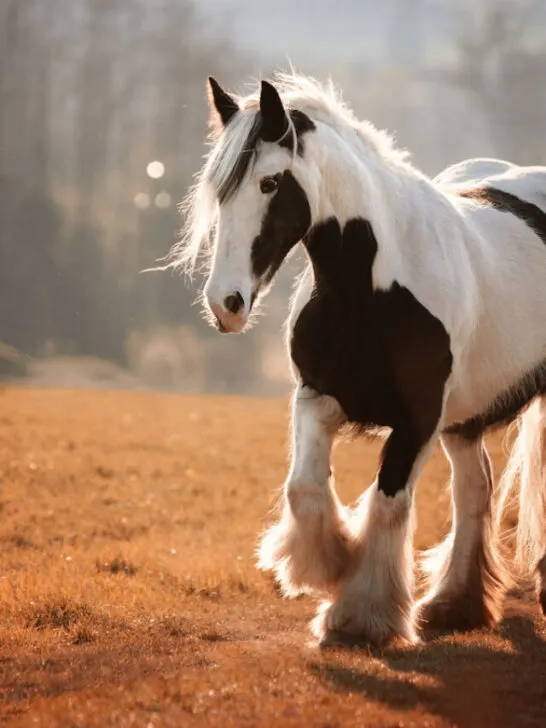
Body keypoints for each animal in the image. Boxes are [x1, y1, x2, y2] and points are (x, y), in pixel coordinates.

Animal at [170, 72, 546, 646]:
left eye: (269, 183)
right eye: (220, 190)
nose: (225, 303)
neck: (370, 288)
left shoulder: (419, 421)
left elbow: (388, 504)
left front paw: (361, 614)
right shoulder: (316, 396)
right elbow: (304, 488)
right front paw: (329, 563)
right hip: (464, 421)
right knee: (474, 488)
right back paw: (453, 604)